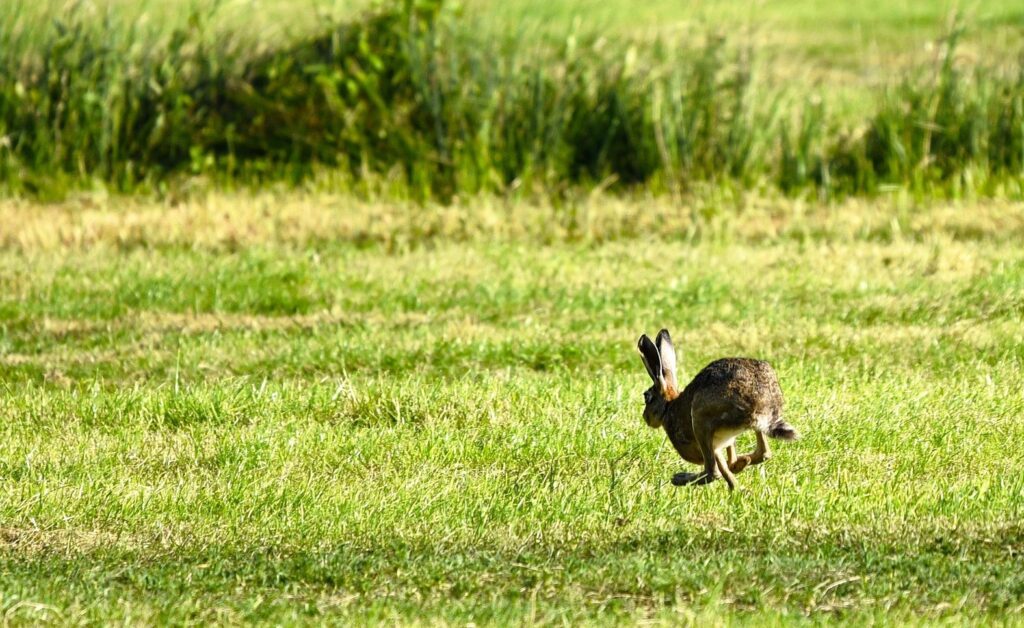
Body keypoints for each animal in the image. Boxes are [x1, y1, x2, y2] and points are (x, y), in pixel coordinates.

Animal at [637, 328, 798, 490]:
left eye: (647, 397)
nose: (645, 417)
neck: (668, 407)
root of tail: (759, 407)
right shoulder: (721, 442)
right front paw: (737, 466)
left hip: (700, 420)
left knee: (712, 472)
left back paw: (679, 478)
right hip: (747, 427)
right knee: (763, 453)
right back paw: (740, 466)